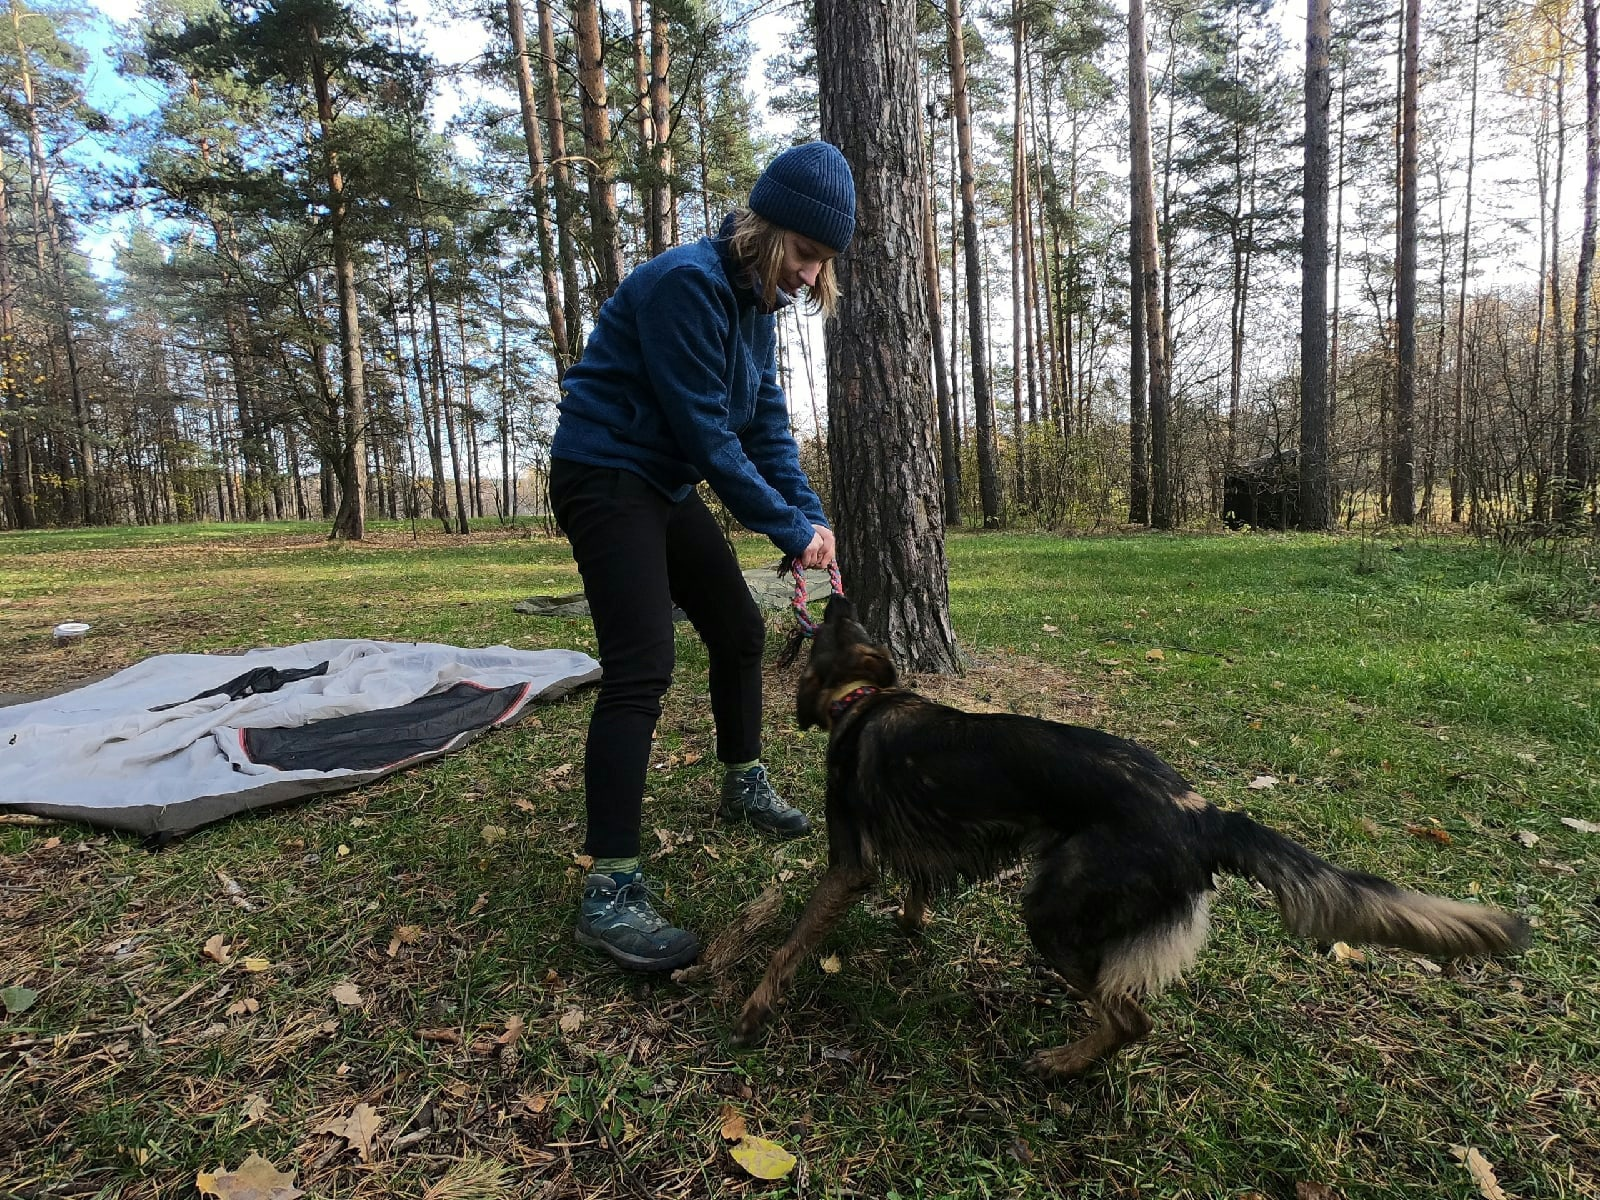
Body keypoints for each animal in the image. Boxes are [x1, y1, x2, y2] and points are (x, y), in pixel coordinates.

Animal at [732, 601, 1529, 1081]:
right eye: (852, 620)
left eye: (824, 631)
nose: (828, 593)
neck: (864, 701)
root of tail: (1205, 814)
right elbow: (917, 888)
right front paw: (911, 926)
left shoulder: (846, 867)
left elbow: (791, 943)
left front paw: (755, 1006)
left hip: (1051, 917)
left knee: (1131, 1018)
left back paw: (1060, 1062)